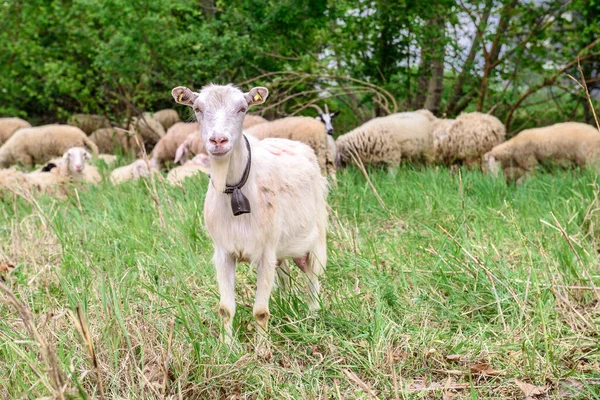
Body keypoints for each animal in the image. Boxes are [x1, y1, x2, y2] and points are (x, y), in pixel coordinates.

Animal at [171, 82, 326, 344]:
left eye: (242, 108)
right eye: (197, 108)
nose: (218, 140)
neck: (235, 189)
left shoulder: (265, 252)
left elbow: (261, 311)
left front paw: (262, 348)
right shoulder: (223, 252)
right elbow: (225, 308)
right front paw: (227, 346)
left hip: (317, 237)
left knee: (313, 279)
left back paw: (313, 317)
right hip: (280, 250)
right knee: (285, 276)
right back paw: (286, 306)